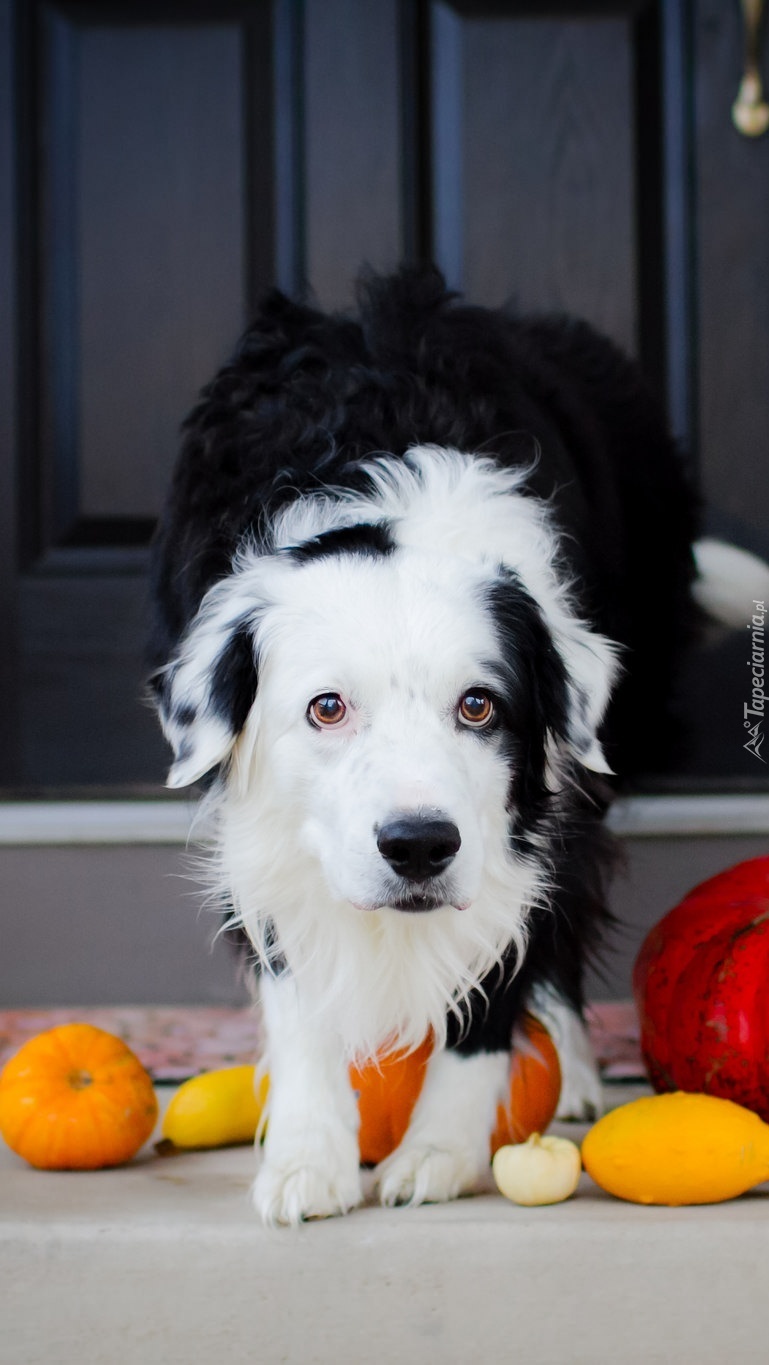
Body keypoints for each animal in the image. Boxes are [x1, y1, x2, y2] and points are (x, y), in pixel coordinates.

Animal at [148, 266, 715, 1228]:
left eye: (479, 705)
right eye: (326, 707)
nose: (417, 846)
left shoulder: (531, 816)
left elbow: (504, 969)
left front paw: (438, 1153)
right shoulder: (264, 825)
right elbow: (294, 982)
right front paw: (308, 1159)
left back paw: (570, 1069)